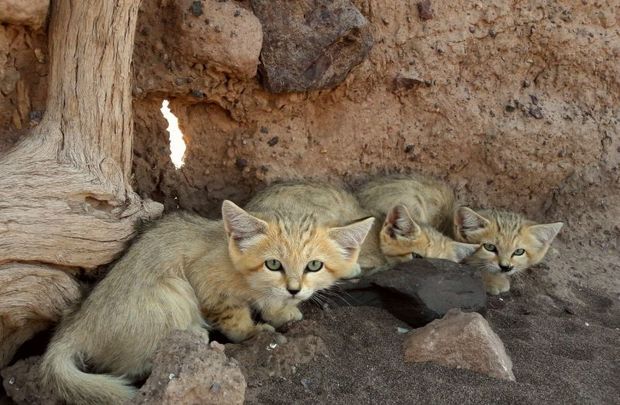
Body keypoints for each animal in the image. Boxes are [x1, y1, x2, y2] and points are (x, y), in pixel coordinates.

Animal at [40, 200, 372, 404]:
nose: (294, 289)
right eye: (273, 264)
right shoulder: (204, 281)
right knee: (132, 365)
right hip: (173, 290)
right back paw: (194, 337)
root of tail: (76, 324)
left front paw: (284, 311)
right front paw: (253, 331)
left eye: (314, 266)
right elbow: (233, 316)